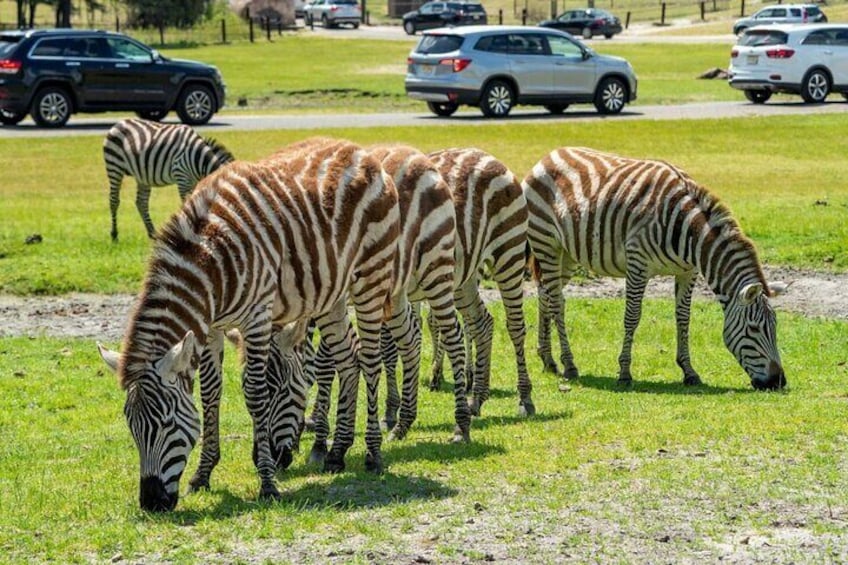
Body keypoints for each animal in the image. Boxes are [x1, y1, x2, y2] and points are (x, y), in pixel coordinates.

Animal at [97, 142, 402, 512]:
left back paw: (373, 453)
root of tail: (359, 150)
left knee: (370, 361)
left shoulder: (257, 316)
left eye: (167, 424)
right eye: (132, 426)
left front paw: (267, 483)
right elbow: (210, 393)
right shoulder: (211, 327)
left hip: (372, 277)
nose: (152, 502)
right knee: (348, 360)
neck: (210, 258)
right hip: (332, 294)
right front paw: (203, 474)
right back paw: (337, 454)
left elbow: (254, 394)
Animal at [104, 118, 234, 241]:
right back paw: (114, 235)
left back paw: (153, 235)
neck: (199, 159)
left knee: (141, 202)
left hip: (142, 176)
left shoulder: (194, 182)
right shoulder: (182, 177)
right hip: (114, 167)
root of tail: (119, 122)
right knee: (114, 200)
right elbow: (187, 206)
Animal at [524, 148, 788, 390]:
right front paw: (625, 372)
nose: (778, 381)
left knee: (545, 294)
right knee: (557, 303)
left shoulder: (687, 271)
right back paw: (569, 364)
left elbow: (683, 318)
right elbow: (632, 317)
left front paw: (689, 371)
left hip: (566, 254)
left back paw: (548, 360)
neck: (687, 230)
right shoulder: (637, 263)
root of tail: (549, 154)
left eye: (775, 326)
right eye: (754, 329)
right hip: (546, 242)